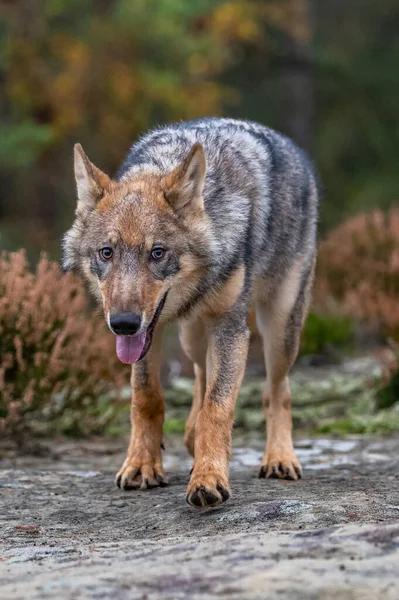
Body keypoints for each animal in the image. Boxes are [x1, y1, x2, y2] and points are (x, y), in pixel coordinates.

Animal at [62, 116, 318, 506]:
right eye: (106, 252)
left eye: (158, 253)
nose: (122, 324)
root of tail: (294, 149)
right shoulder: (150, 335)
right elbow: (147, 397)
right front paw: (142, 465)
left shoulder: (230, 328)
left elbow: (218, 405)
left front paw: (208, 477)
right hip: (192, 337)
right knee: (199, 372)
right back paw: (191, 432)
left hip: (279, 328)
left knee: (276, 390)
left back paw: (279, 458)